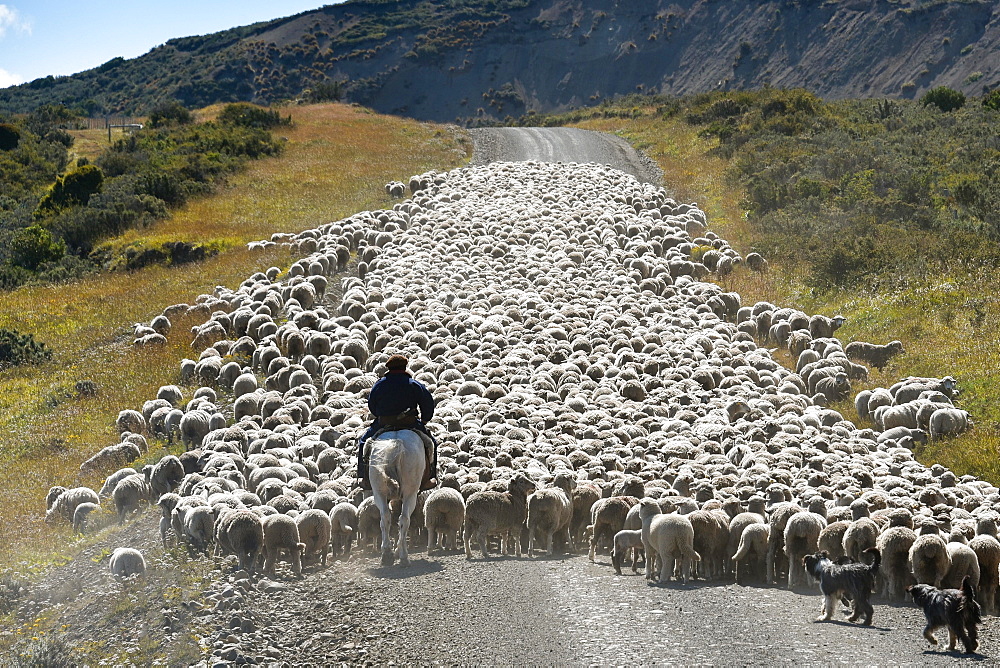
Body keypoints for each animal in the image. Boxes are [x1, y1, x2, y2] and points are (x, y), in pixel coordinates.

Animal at [370, 430, 428, 568]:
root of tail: (396, 441)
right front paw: (397, 550)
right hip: (410, 493)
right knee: (404, 519)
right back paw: (403, 556)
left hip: (378, 490)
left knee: (385, 517)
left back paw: (387, 555)